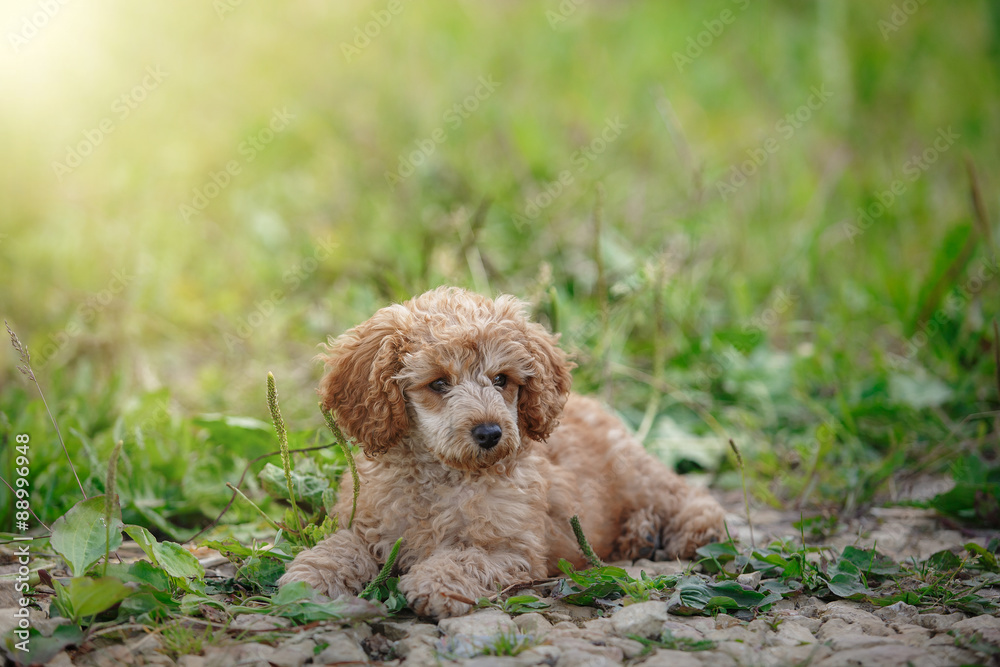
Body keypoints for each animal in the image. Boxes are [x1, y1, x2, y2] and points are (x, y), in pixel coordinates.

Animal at [278, 288, 724, 620]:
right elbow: (342, 546)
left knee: (683, 493)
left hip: (634, 471)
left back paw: (686, 531)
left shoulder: (516, 551)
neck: (443, 474)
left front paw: (434, 582)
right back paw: (639, 534)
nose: (490, 432)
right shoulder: (366, 523)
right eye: (438, 383)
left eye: (501, 379)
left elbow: (468, 558)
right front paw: (309, 576)